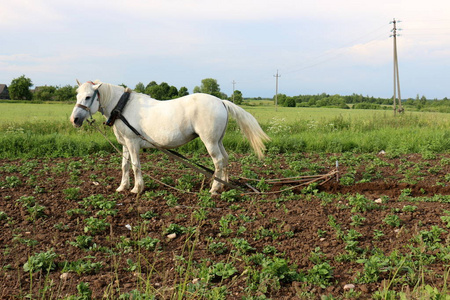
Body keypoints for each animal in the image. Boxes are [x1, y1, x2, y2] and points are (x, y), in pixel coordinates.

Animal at [68, 79, 268, 195]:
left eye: (88, 97)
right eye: (77, 95)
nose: (74, 120)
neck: (122, 108)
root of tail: (221, 101)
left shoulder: (132, 143)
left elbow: (135, 165)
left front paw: (137, 188)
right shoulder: (125, 144)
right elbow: (124, 166)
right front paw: (122, 187)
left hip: (210, 141)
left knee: (218, 161)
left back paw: (213, 189)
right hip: (218, 140)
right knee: (225, 159)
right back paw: (224, 185)